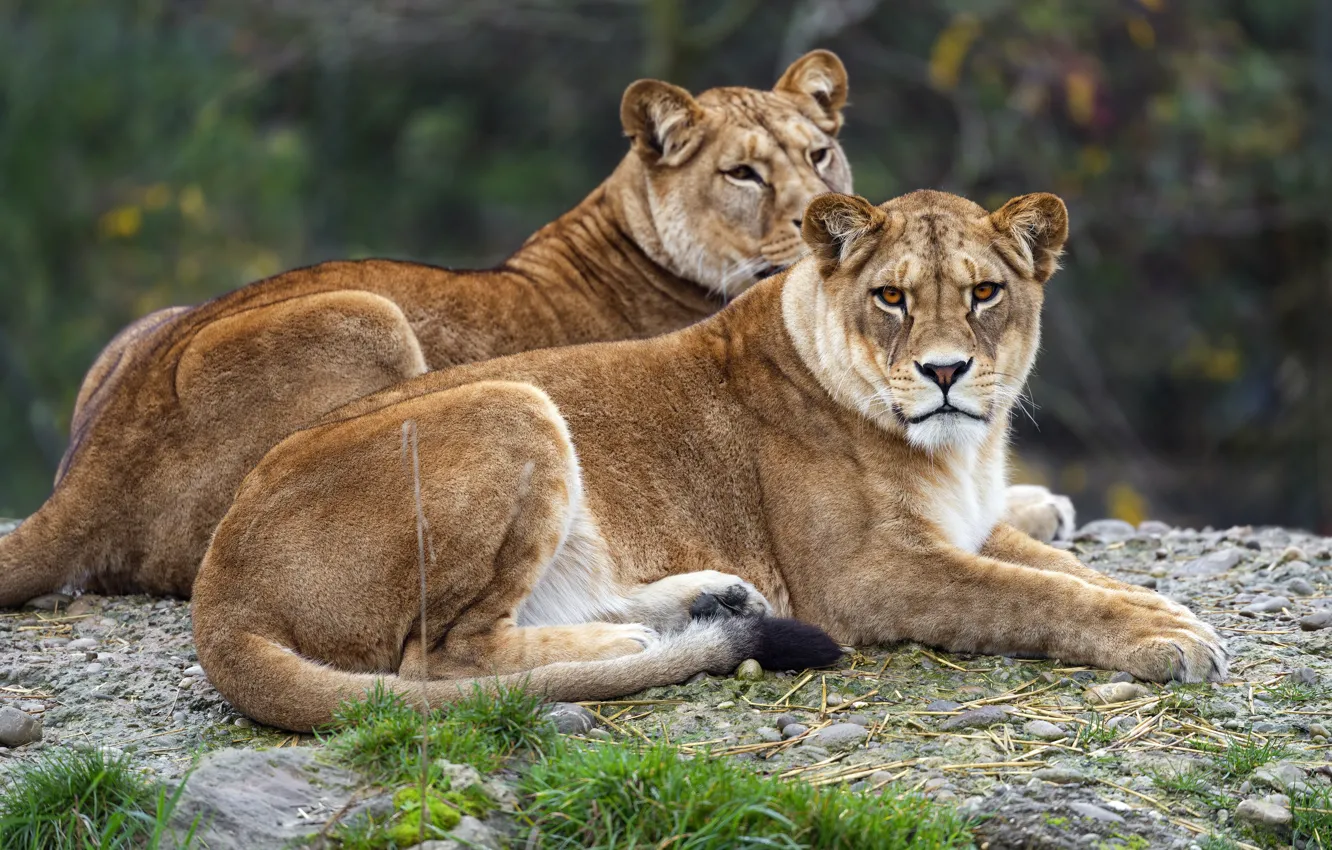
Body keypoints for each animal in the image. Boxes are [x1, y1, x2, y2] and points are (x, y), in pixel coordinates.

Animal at [190, 189, 1225, 733]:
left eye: (984, 293)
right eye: (891, 297)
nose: (944, 372)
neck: (961, 451)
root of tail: (218, 587)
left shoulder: (963, 529)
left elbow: (1067, 569)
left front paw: (1164, 610)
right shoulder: (868, 577)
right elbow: (1033, 595)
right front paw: (1162, 637)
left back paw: (710, 604)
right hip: (514, 404)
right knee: (437, 659)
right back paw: (631, 648)